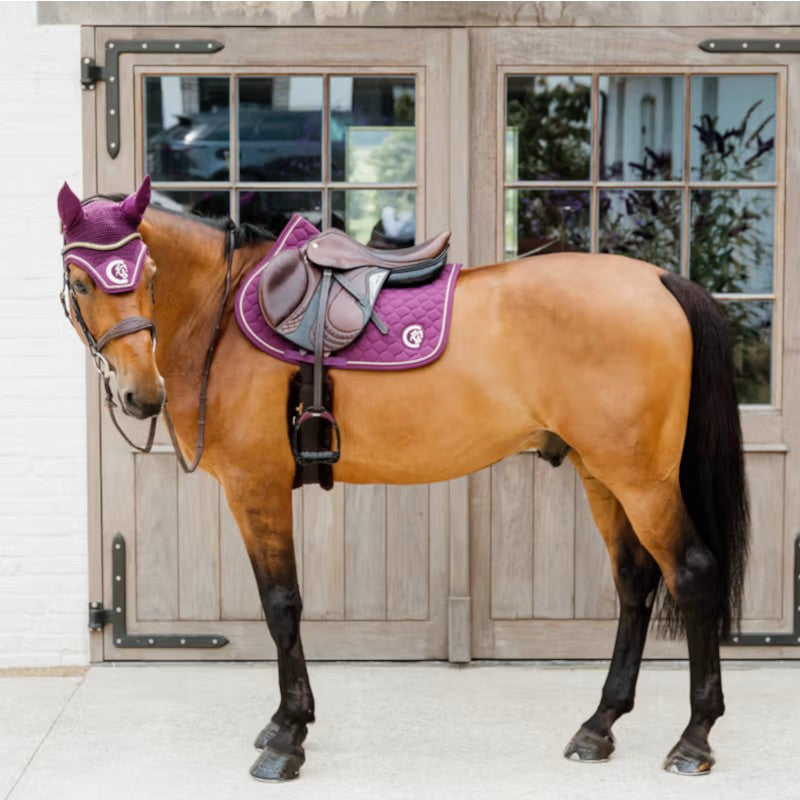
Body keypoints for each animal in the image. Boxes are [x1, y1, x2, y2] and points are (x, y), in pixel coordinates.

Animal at [56, 176, 748, 781]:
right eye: (80, 280)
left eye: (147, 275)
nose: (141, 394)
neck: (222, 318)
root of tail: (659, 279)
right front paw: (284, 722)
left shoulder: (257, 487)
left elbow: (282, 605)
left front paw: (287, 736)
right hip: (600, 474)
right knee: (634, 582)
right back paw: (599, 725)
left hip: (642, 481)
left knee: (691, 573)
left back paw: (694, 738)